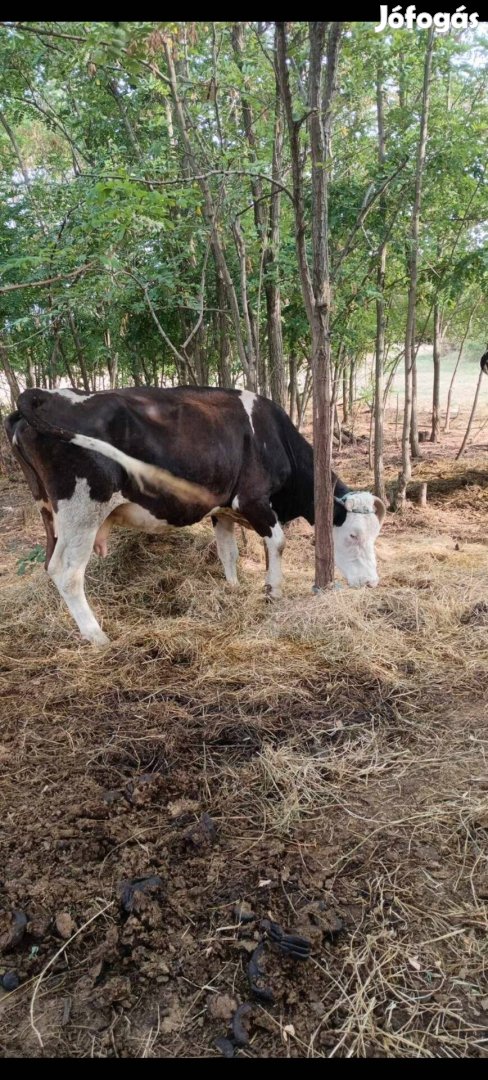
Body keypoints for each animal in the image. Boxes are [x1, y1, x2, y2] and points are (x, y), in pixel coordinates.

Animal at [3, 386, 384, 643]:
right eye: (353, 535)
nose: (371, 583)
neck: (272, 436)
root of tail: (42, 395)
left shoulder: (223, 508)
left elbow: (228, 552)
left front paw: (233, 588)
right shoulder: (252, 500)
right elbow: (277, 543)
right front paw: (272, 591)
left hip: (50, 513)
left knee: (49, 564)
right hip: (82, 510)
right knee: (67, 572)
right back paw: (98, 636)